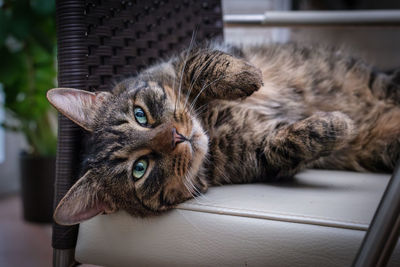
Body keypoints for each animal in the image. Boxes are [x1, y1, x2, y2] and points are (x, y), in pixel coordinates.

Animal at [47, 42, 400, 226]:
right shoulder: (261, 156)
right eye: (139, 169)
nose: (176, 137)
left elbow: (199, 62)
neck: (210, 125)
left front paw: (247, 74)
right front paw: (337, 125)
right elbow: (289, 142)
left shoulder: (175, 64)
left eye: (140, 116)